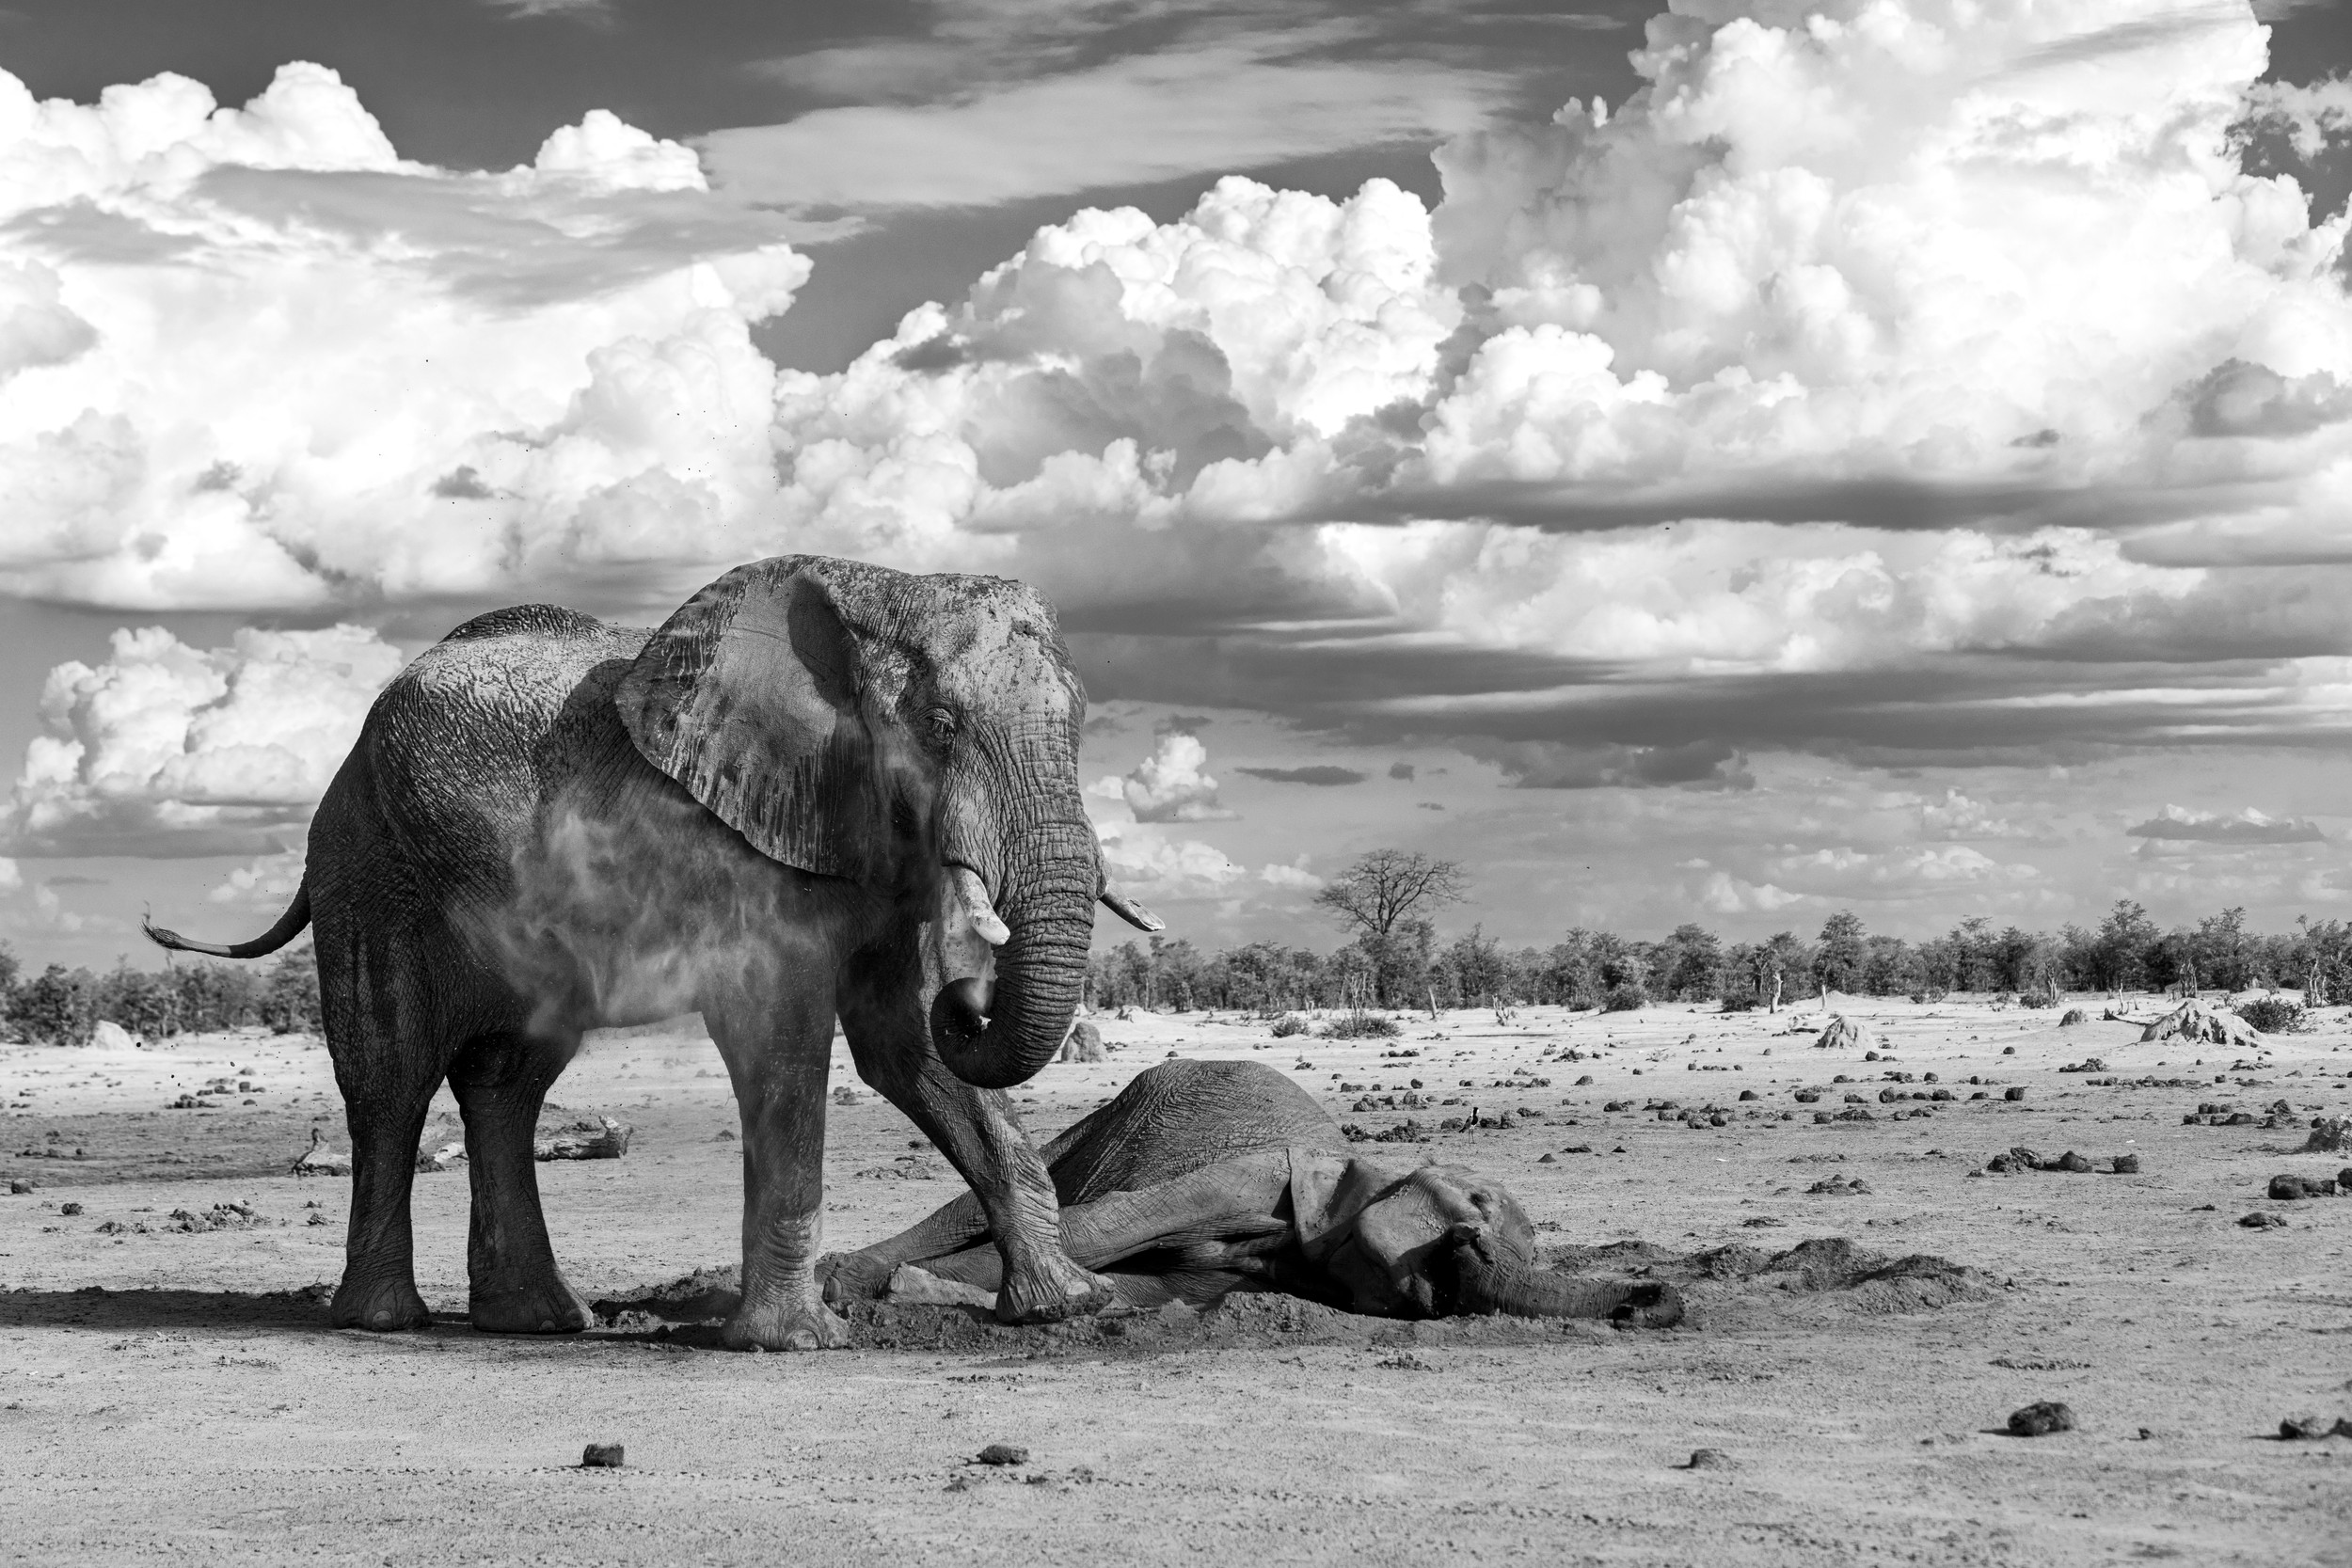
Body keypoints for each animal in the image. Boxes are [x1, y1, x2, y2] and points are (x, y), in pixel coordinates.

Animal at [145, 555, 1162, 1351]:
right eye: (943, 726)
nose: (972, 996)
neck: (868, 595)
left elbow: (903, 1048)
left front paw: (1073, 1307)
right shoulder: (734, 842)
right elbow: (784, 1041)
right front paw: (798, 1342)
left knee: (507, 1080)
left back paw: (540, 1320)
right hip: (370, 872)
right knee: (390, 1080)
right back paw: (385, 1320)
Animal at [820, 1059, 1684, 1326]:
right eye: (1476, 1212)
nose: (1649, 1297)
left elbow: (1152, 1286)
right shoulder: (1261, 1176)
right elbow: (1099, 1231)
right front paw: (884, 1288)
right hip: (1095, 1125)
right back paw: (843, 1275)